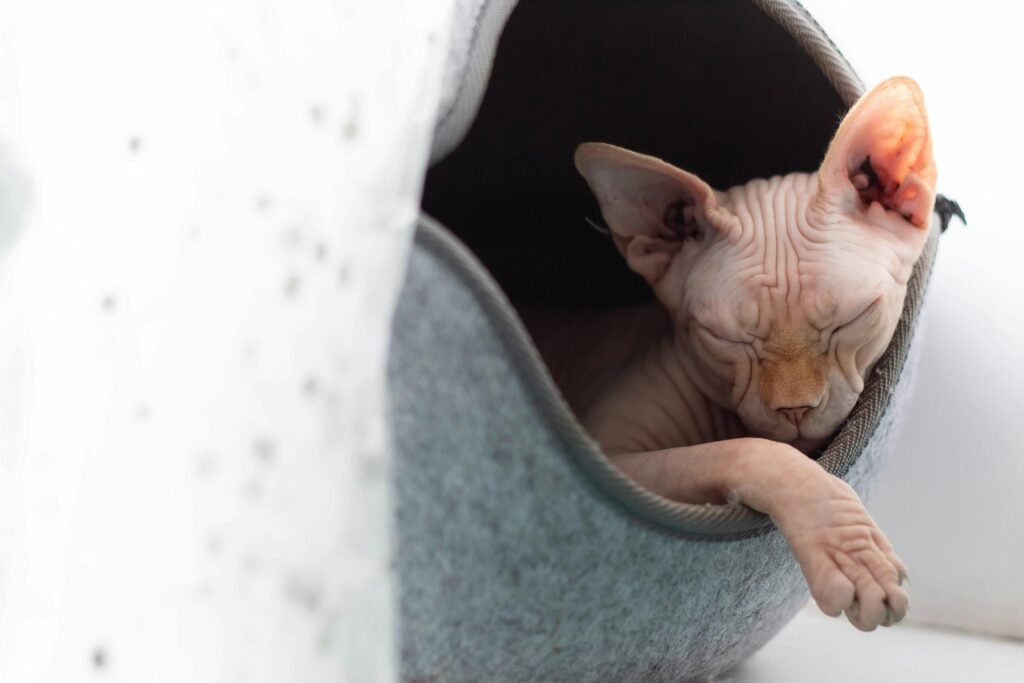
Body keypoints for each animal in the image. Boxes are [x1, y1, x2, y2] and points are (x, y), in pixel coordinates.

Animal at [528, 77, 937, 634]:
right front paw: (852, 555)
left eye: (852, 318)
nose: (795, 409)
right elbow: (754, 450)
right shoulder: (615, 457)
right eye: (725, 337)